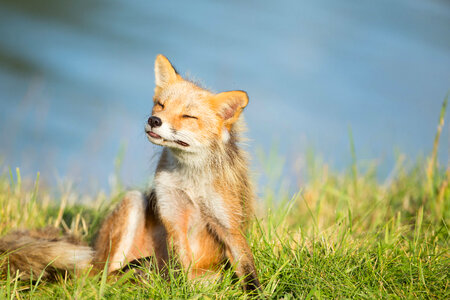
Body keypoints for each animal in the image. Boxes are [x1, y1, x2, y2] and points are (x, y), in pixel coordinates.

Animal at [0, 54, 260, 290]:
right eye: (161, 105)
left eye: (188, 116)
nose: (154, 120)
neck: (191, 183)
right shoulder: (173, 217)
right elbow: (180, 268)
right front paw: (181, 289)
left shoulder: (228, 224)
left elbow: (247, 269)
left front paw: (255, 293)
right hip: (132, 203)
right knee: (101, 277)